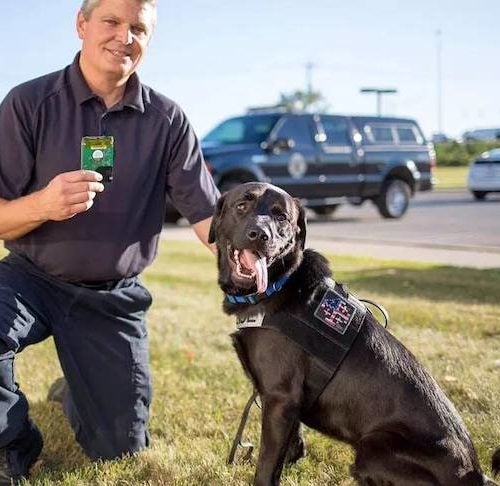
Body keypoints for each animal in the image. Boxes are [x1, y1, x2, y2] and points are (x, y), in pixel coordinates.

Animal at [208, 183, 500, 486]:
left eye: (281, 217)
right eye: (242, 205)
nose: (260, 235)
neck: (277, 287)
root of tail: (474, 475)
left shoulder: (279, 398)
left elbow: (266, 466)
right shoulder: (288, 403)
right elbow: (291, 447)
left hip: (372, 448)